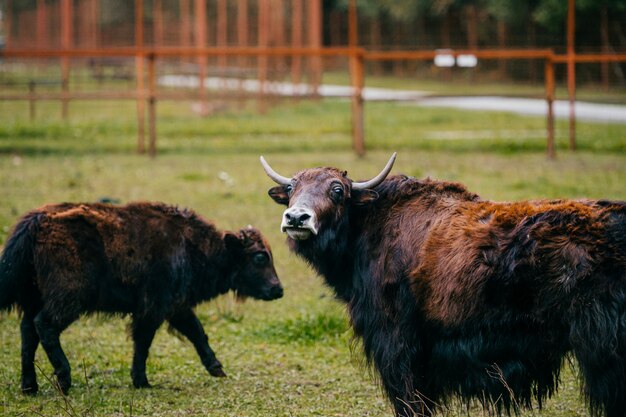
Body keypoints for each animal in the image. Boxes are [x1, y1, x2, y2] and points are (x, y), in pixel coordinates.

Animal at [0, 202, 280, 394]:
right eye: (259, 257)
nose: (278, 290)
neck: (191, 245)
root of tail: (37, 221)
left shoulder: (175, 307)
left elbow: (196, 332)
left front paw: (217, 368)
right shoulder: (154, 309)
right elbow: (144, 343)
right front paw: (142, 381)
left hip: (34, 299)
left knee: (28, 333)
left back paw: (30, 386)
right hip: (68, 300)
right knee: (44, 326)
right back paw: (64, 379)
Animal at [260, 154, 624, 416]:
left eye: (337, 191)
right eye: (292, 188)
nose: (296, 218)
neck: (369, 226)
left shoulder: (396, 340)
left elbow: (409, 401)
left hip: (603, 348)